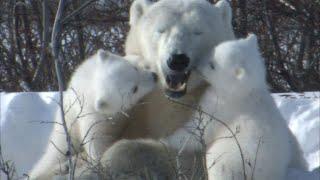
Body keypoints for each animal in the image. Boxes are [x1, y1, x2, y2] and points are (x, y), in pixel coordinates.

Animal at [29, 50, 157, 179]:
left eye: (134, 68)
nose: (154, 76)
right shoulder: (93, 118)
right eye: (134, 89)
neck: (91, 85)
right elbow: (97, 144)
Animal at [169, 34, 306, 179]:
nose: (195, 65)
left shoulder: (223, 107)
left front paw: (167, 138)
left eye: (212, 65)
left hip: (232, 157)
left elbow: (197, 129)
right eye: (212, 50)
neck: (245, 91)